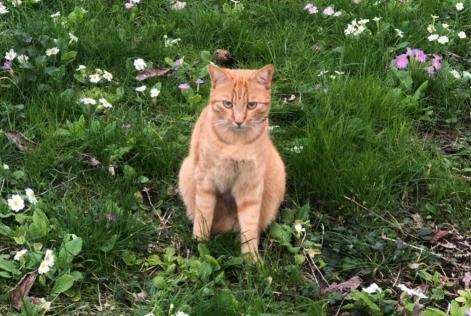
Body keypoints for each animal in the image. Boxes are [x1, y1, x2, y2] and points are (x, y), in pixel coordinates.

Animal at [179, 63, 286, 260]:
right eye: (227, 104)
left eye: (252, 105)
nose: (238, 121)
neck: (237, 142)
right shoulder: (206, 181)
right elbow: (203, 216)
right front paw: (200, 244)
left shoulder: (250, 188)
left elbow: (249, 227)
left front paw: (251, 260)